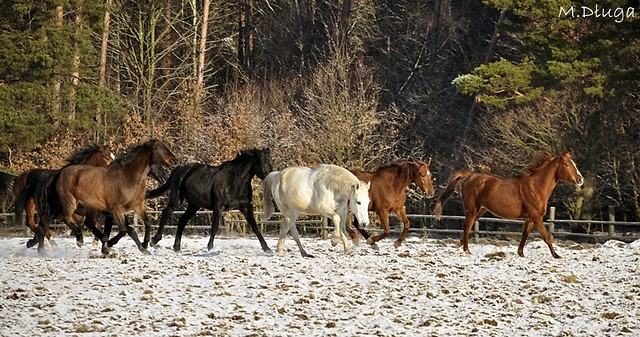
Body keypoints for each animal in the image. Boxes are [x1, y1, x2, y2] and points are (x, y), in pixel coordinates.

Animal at [34, 139, 176, 255]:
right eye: (157, 148)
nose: (174, 160)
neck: (128, 178)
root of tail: (60, 173)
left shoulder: (137, 205)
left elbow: (146, 223)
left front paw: (145, 246)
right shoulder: (116, 209)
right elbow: (124, 229)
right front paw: (109, 244)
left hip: (87, 207)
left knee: (79, 223)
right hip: (68, 204)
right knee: (61, 219)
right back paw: (78, 239)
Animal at [436, 150, 584, 258]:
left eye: (575, 164)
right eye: (566, 165)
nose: (580, 179)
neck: (536, 187)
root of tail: (471, 175)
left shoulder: (529, 219)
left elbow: (524, 236)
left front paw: (521, 254)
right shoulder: (536, 217)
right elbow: (546, 237)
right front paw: (556, 255)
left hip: (481, 210)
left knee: (468, 226)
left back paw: (461, 245)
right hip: (472, 209)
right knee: (467, 227)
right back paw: (467, 250)